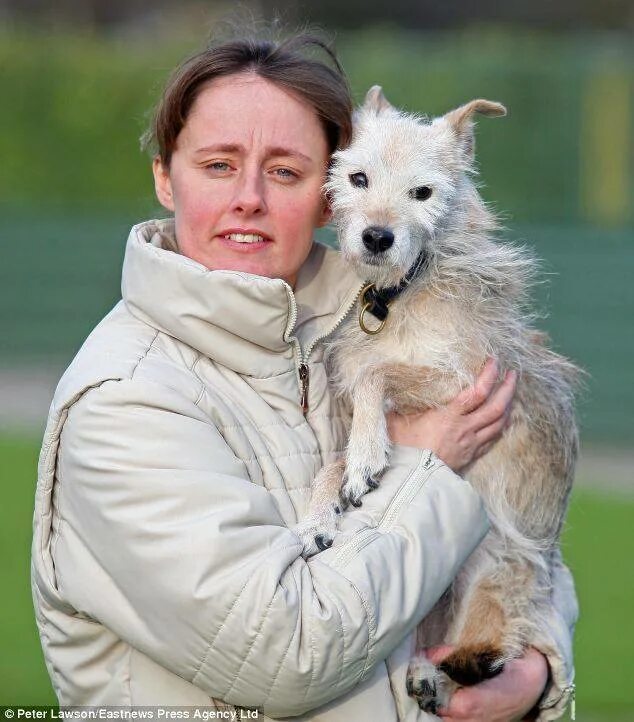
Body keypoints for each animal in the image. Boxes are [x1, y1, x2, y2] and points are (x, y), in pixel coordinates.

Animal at [296, 88, 576, 708]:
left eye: (423, 193)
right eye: (357, 177)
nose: (377, 237)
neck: (399, 294)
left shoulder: (469, 381)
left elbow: (377, 375)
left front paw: (367, 454)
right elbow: (333, 458)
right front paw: (318, 514)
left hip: (494, 568)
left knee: (495, 642)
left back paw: (444, 673)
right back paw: (426, 670)